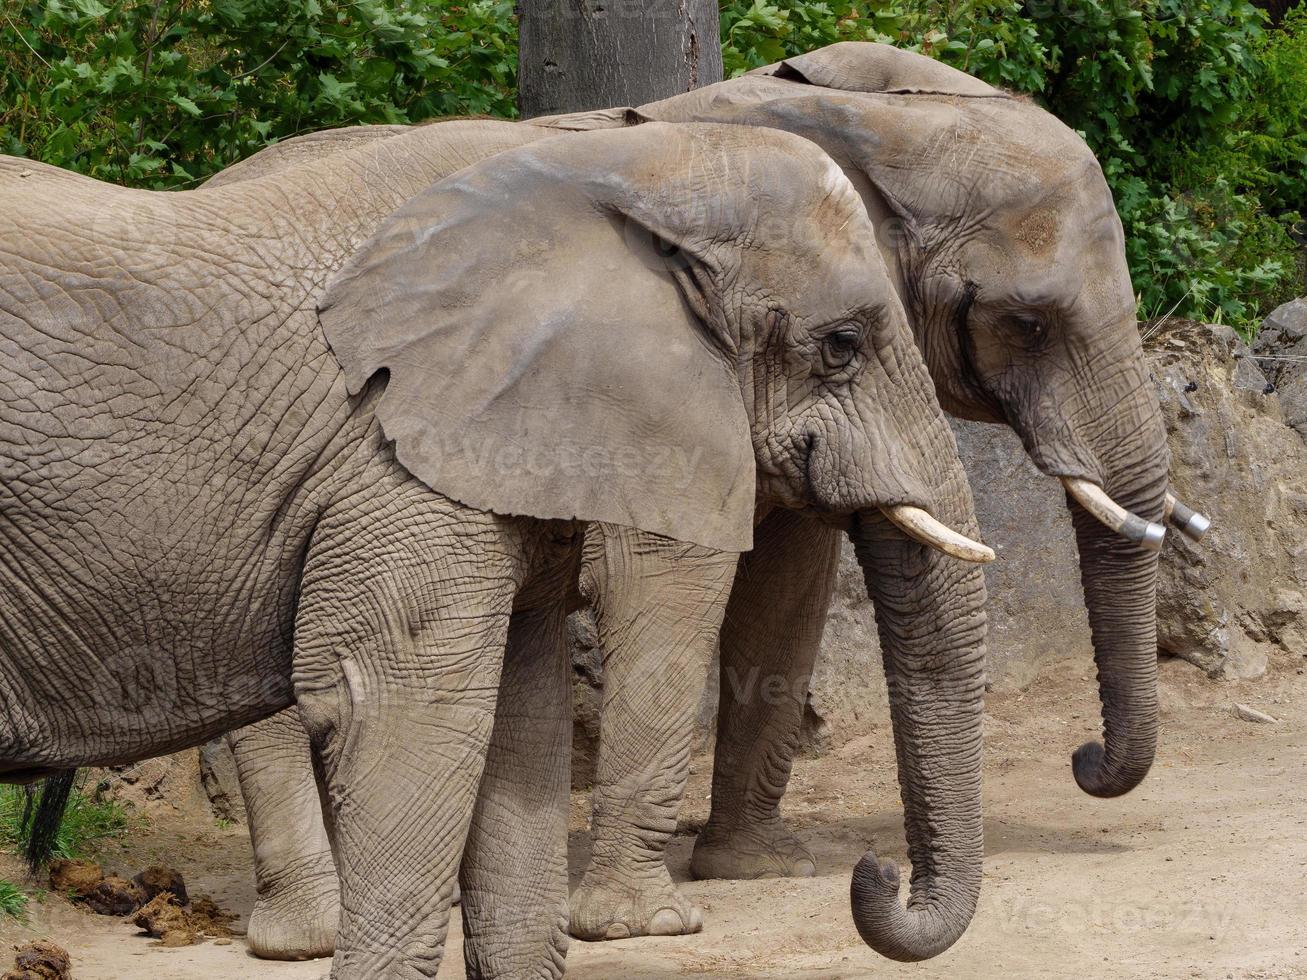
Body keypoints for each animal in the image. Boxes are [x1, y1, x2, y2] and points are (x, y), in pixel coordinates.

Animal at [0, 114, 988, 977]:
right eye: (841, 346)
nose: (874, 874)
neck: (616, 169)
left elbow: (525, 720)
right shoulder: (398, 464)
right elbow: (401, 709)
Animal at [209, 40, 1207, 966]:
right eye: (1026, 322)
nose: (1085, 762)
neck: (866, 120)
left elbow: (787, 593)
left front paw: (758, 869)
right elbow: (672, 591)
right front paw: (641, 924)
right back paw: (309, 934)